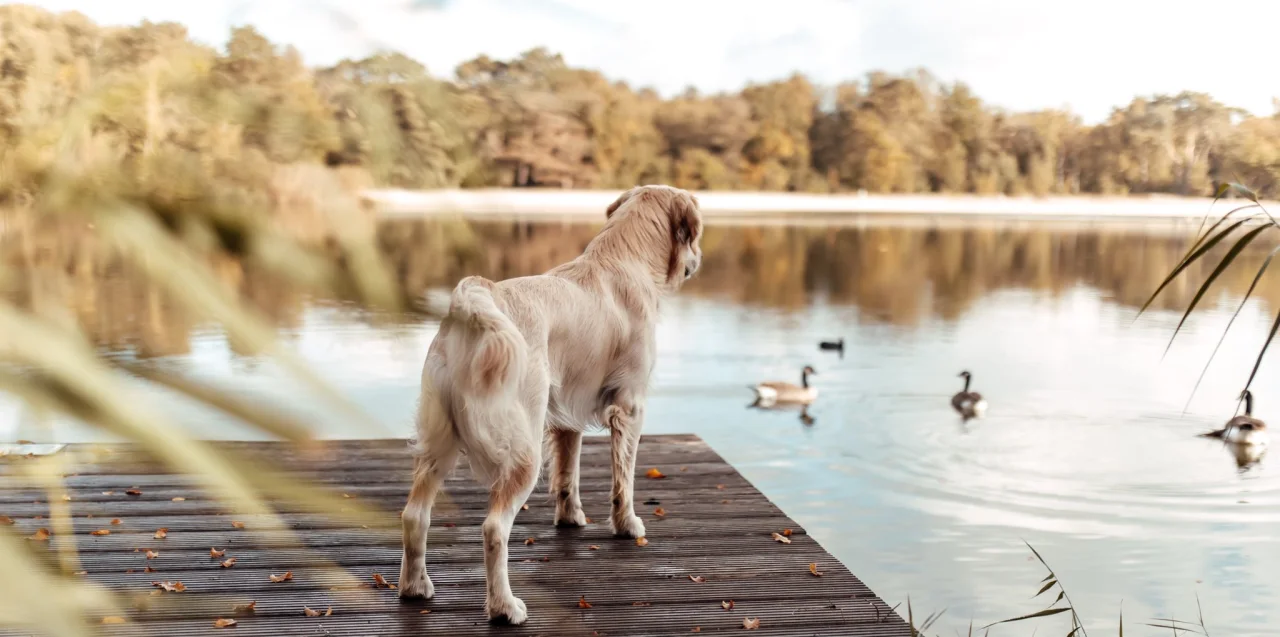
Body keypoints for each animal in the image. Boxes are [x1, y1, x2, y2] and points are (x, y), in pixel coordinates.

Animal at [396, 184, 706, 621]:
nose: (698, 259)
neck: (623, 260)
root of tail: (474, 303)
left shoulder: (565, 414)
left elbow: (567, 474)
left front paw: (570, 517)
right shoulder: (629, 407)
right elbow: (623, 479)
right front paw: (626, 524)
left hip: (440, 439)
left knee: (414, 516)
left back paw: (415, 586)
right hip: (521, 450)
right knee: (494, 528)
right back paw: (505, 607)